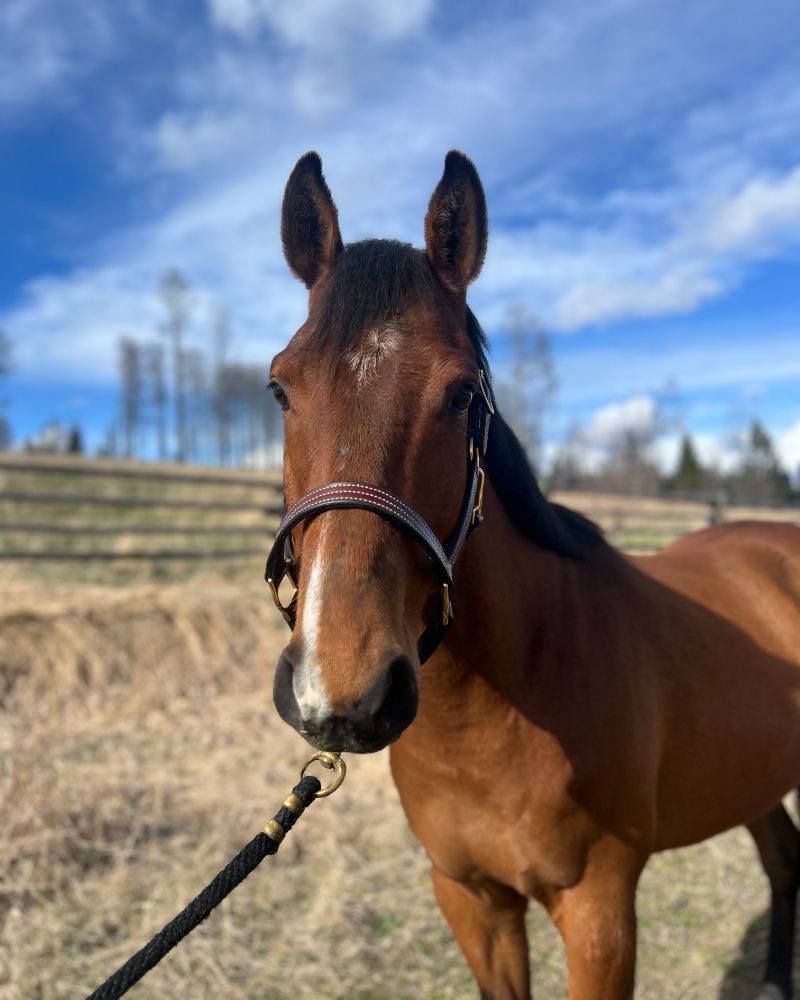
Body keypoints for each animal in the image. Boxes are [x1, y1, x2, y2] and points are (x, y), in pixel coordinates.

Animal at [264, 149, 800, 1000]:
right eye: (281, 387)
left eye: (461, 394)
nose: (341, 691)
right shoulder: (471, 899)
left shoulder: (599, 914)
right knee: (782, 857)